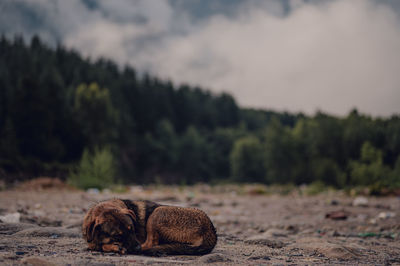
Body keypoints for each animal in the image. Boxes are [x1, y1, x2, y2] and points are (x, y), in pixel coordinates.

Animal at [82, 200, 219, 256]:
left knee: (150, 244)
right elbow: (97, 245)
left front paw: (114, 247)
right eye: (117, 235)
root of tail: (210, 231)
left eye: (132, 229)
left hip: (157, 212)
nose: (137, 248)